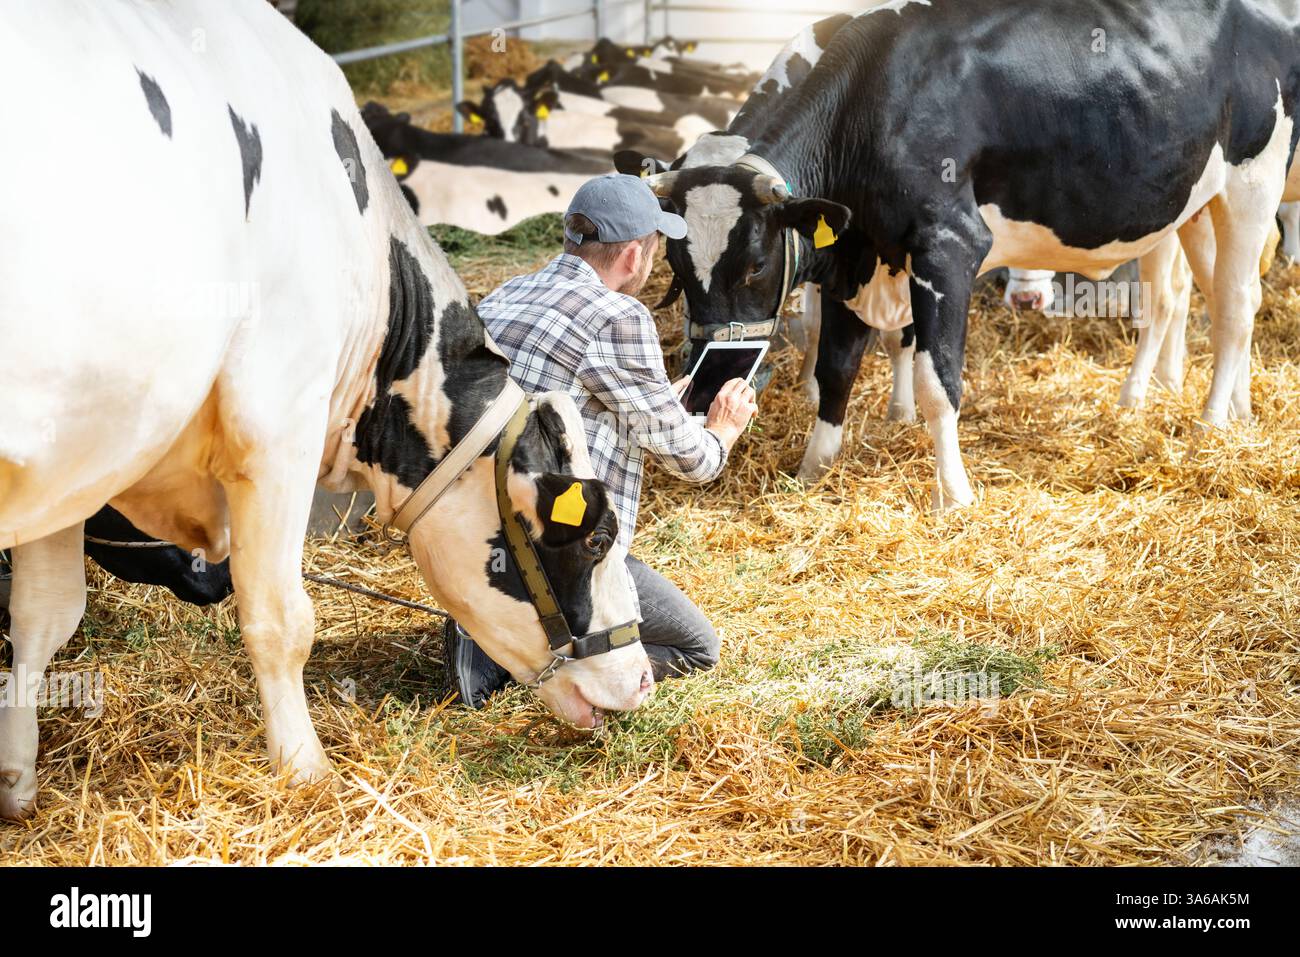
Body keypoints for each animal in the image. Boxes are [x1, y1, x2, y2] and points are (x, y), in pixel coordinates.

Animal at [621, 0, 1300, 509]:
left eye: (757, 264)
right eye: (676, 268)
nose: (705, 391)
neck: (871, 104)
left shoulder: (948, 248)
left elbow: (937, 380)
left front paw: (953, 495)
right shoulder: (851, 260)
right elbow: (836, 370)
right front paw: (812, 472)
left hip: (1253, 184)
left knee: (1235, 306)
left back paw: (1210, 422)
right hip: (1192, 205)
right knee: (1195, 298)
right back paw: (1221, 408)